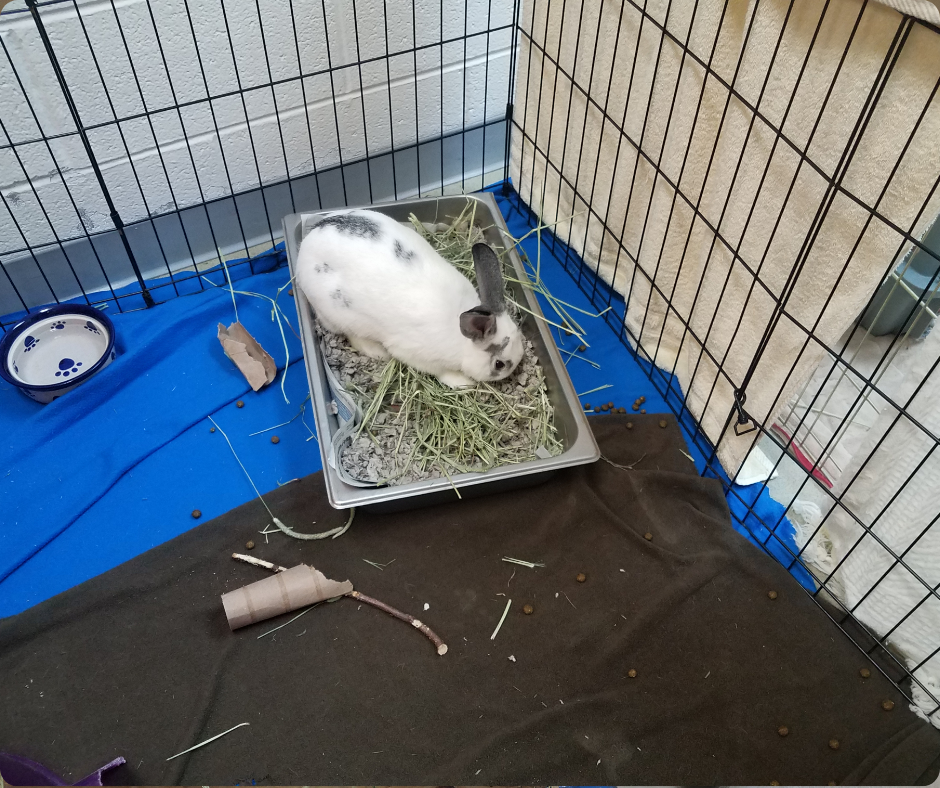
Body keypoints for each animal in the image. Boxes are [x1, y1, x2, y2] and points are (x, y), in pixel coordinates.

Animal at [295, 209, 524, 389]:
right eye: (499, 364)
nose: (514, 370)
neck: (461, 340)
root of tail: (307, 241)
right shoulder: (418, 357)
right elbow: (442, 373)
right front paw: (464, 383)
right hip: (339, 315)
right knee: (353, 336)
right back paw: (378, 352)